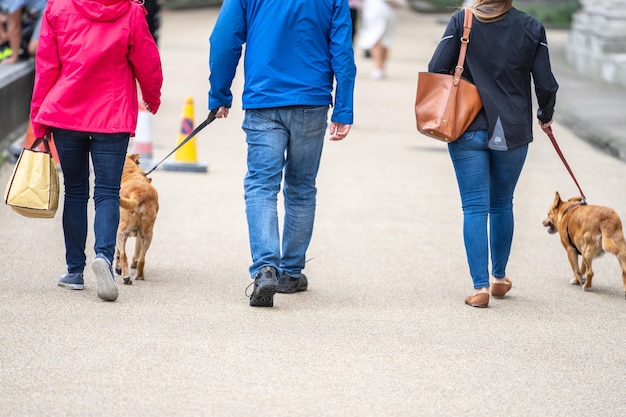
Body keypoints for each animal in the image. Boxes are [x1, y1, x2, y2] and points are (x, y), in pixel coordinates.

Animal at [114, 154, 158, 284]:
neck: (129, 172)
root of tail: (138, 193)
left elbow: (118, 253)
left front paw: (118, 268)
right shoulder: (139, 235)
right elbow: (137, 251)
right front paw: (134, 263)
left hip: (121, 232)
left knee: (123, 255)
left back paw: (126, 276)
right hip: (147, 235)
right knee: (142, 258)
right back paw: (139, 275)